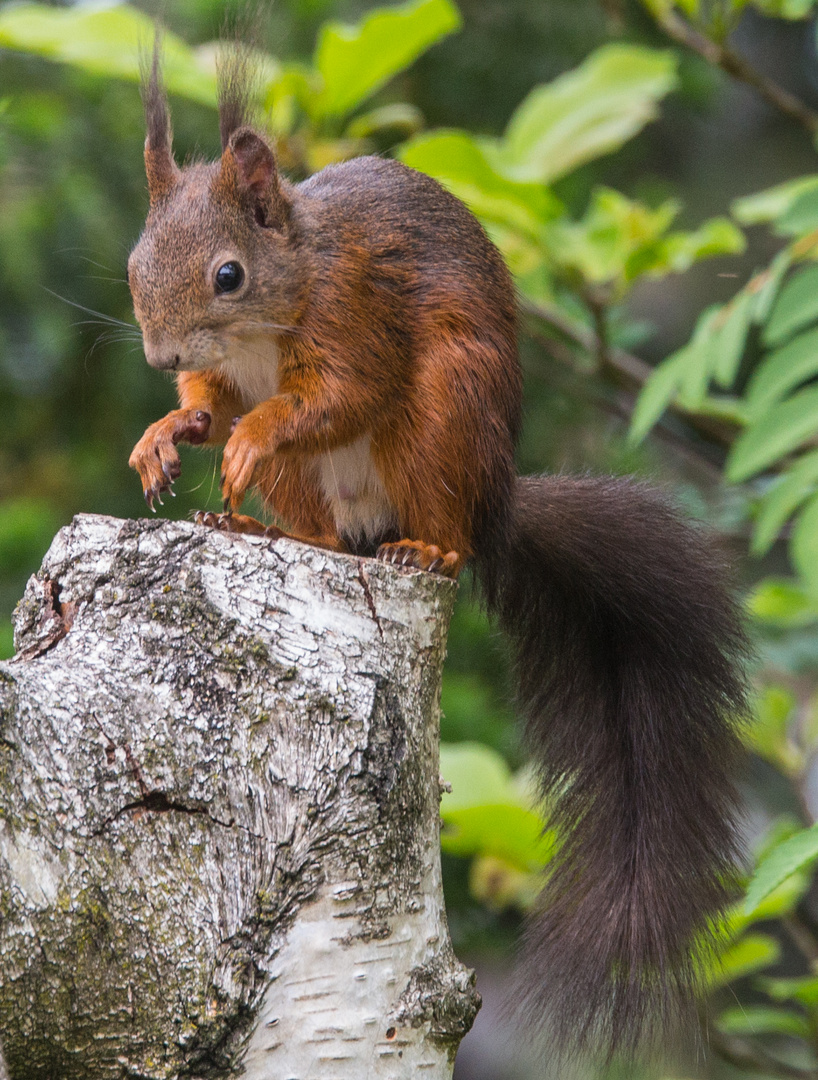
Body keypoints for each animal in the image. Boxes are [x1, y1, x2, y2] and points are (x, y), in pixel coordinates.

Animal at [125, 48, 747, 1054]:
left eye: (228, 274)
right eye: (135, 265)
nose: (159, 352)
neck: (290, 285)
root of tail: (496, 507)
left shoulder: (356, 315)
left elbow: (334, 394)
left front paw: (247, 435)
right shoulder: (225, 372)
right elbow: (208, 404)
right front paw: (163, 434)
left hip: (444, 412)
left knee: (427, 516)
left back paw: (425, 552)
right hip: (330, 488)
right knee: (323, 536)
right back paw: (257, 529)